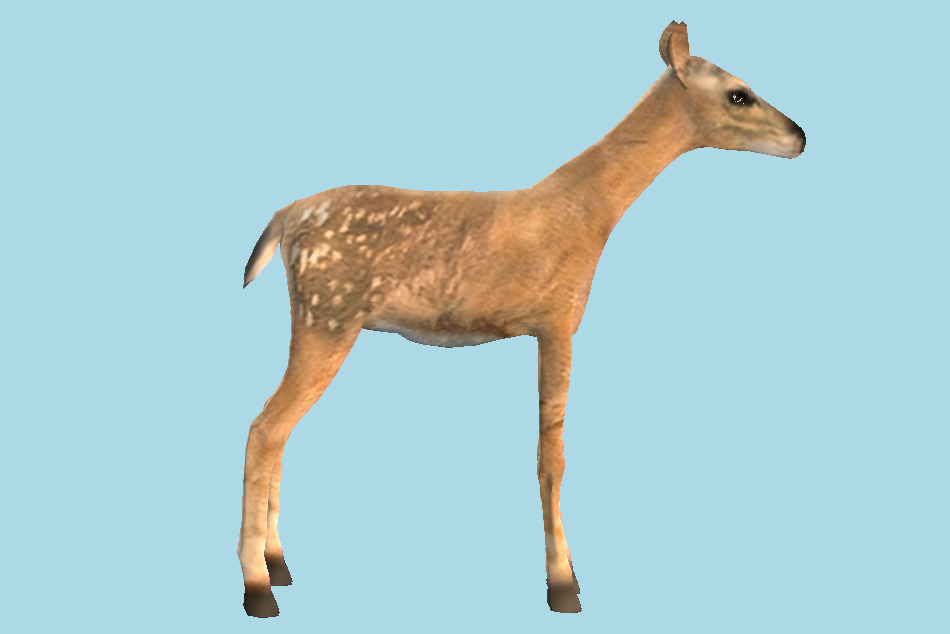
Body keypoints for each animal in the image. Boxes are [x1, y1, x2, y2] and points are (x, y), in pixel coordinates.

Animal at [238, 20, 806, 617]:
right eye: (739, 93)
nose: (800, 137)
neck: (586, 215)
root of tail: (284, 217)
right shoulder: (556, 320)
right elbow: (552, 456)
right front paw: (563, 585)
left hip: (320, 317)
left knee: (278, 432)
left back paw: (279, 566)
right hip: (329, 313)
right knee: (265, 427)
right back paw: (258, 589)